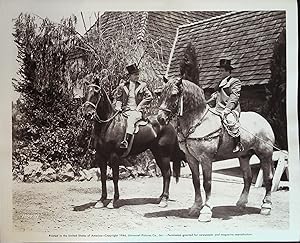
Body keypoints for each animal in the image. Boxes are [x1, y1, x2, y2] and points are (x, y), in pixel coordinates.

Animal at [82, 80, 185, 208]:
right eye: (85, 93)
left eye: (96, 93)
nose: (87, 114)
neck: (109, 124)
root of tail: (168, 123)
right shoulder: (100, 156)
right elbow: (103, 178)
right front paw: (101, 200)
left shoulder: (114, 156)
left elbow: (115, 177)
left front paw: (114, 200)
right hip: (157, 154)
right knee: (165, 174)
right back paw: (160, 197)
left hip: (164, 155)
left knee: (167, 173)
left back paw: (164, 200)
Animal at [156, 77, 276, 222]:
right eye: (161, 94)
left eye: (174, 95)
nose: (160, 118)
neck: (198, 121)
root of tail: (263, 120)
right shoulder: (191, 159)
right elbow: (196, 182)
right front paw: (195, 207)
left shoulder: (206, 159)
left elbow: (207, 183)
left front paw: (206, 211)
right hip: (244, 156)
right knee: (247, 177)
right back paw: (241, 203)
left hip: (265, 155)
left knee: (268, 178)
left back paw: (266, 206)